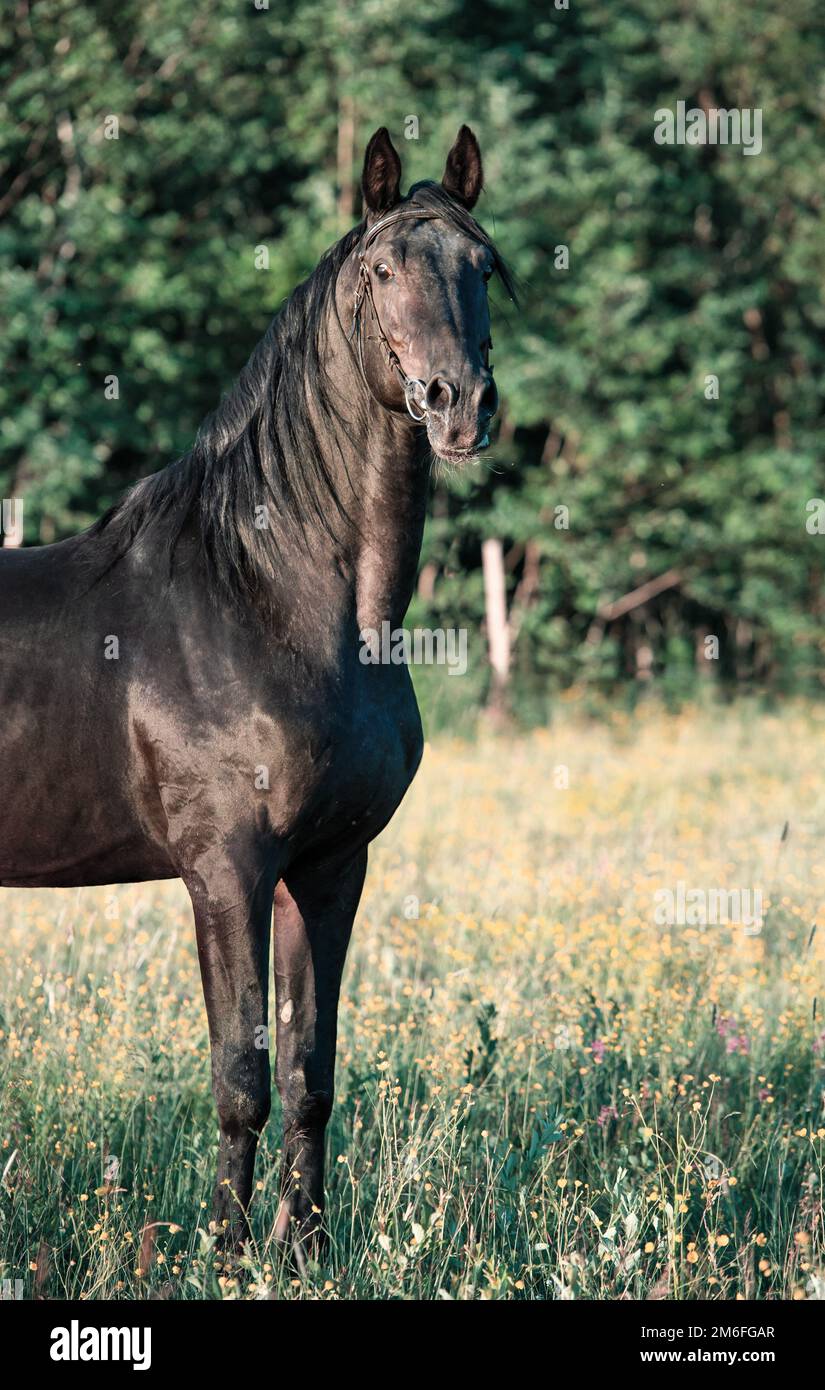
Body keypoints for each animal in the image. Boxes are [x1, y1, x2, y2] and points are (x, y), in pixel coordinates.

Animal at [0, 127, 511, 1262]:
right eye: (380, 271)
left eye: (482, 265)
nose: (459, 406)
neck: (270, 596)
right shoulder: (224, 872)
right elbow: (241, 1076)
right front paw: (228, 1258)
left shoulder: (327, 869)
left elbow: (311, 1072)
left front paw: (306, 1251)